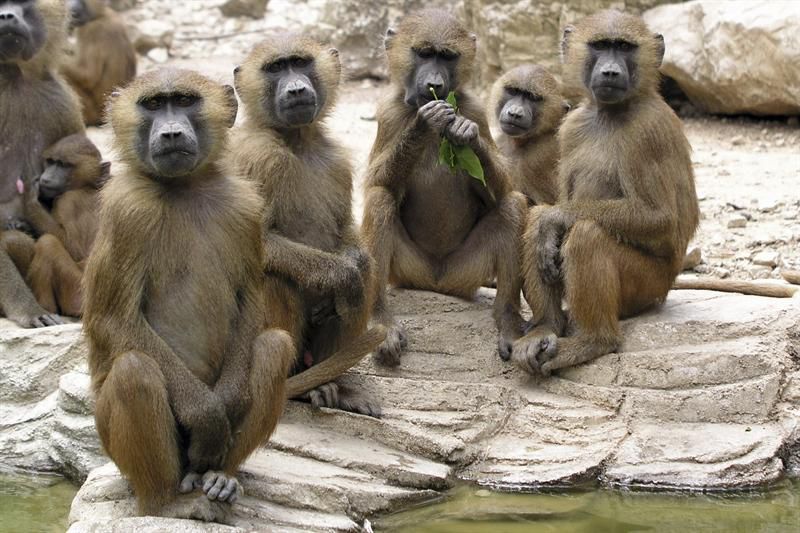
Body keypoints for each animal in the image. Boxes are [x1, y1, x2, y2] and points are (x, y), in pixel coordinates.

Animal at [23, 133, 110, 316]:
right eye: (50, 161)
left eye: (63, 165)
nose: (45, 177)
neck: (87, 186)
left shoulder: (67, 201)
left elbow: (74, 248)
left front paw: (30, 201)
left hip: (77, 293)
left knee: (48, 243)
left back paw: (46, 309)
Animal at [82, 68, 298, 520]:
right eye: (152, 104)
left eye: (184, 101)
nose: (170, 133)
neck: (184, 187)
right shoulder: (126, 213)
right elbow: (115, 319)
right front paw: (208, 418)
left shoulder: (247, 207)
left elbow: (250, 303)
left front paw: (227, 405)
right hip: (113, 441)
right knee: (135, 370)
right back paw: (165, 503)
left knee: (273, 346)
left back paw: (220, 477)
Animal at [227, 33, 385, 417]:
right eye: (275, 68)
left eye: (300, 63)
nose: (297, 89)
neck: (296, 141)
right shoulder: (257, 159)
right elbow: (260, 241)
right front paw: (345, 277)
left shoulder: (337, 162)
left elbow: (348, 234)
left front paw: (353, 265)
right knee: (274, 278)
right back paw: (296, 387)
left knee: (368, 272)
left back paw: (336, 387)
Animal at [360, 9, 527, 365]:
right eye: (424, 53)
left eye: (447, 56)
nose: (435, 85)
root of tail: (437, 282)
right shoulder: (389, 113)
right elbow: (377, 183)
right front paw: (424, 123)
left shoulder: (476, 108)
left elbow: (500, 189)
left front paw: (465, 133)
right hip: (409, 272)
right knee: (379, 200)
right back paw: (382, 324)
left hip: (465, 273)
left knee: (512, 205)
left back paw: (509, 323)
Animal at [512, 10, 700, 376]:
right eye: (600, 46)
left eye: (624, 47)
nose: (611, 71)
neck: (609, 112)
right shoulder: (569, 129)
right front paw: (546, 225)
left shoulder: (647, 133)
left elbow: (659, 219)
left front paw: (554, 219)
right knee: (534, 221)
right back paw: (547, 327)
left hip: (648, 288)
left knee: (588, 235)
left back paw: (593, 341)